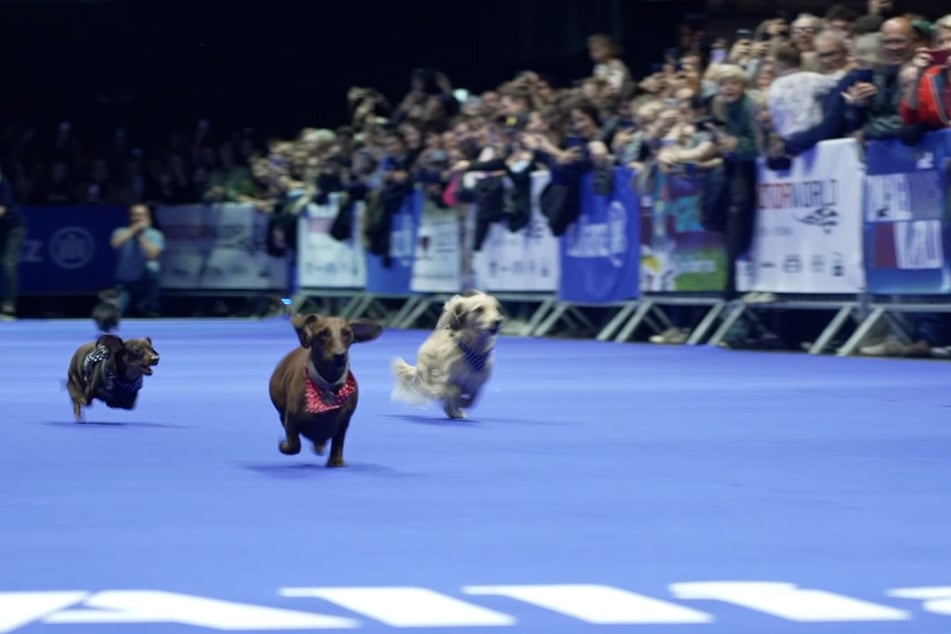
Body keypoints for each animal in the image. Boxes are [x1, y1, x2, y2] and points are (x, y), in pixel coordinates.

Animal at [390, 288, 506, 418]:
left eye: (496, 308)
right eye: (479, 309)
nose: (498, 321)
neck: (474, 348)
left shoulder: (476, 383)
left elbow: (473, 399)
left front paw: (460, 406)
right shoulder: (447, 379)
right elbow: (453, 391)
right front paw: (456, 401)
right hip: (425, 370)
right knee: (429, 387)